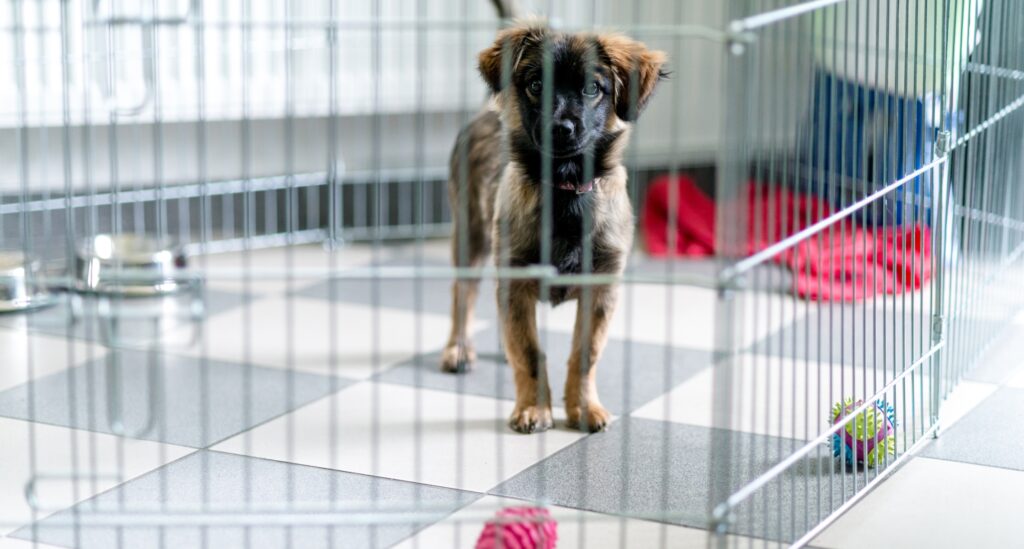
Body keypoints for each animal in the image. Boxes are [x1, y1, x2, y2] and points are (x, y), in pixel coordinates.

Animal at [442, 20, 667, 432]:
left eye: (592, 88)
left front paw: (584, 407)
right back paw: (458, 349)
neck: (566, 188)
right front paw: (534, 409)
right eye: (535, 85)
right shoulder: (514, 280)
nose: (560, 128)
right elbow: (530, 352)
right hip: (470, 234)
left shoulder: (601, 289)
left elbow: (586, 353)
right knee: (462, 293)